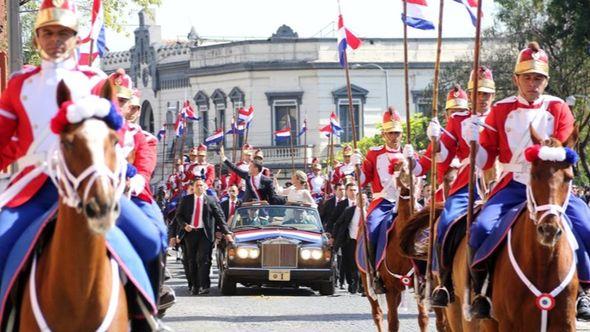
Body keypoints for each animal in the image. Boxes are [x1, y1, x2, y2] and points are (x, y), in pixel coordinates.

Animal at [358, 160, 446, 330]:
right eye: (398, 169)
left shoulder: (422, 285)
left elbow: (424, 319)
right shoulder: (391, 288)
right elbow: (393, 323)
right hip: (367, 282)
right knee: (377, 314)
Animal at [490, 127, 584, 332]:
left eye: (569, 178)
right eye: (533, 175)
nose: (549, 230)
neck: (543, 261)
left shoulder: (567, 323)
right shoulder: (508, 323)